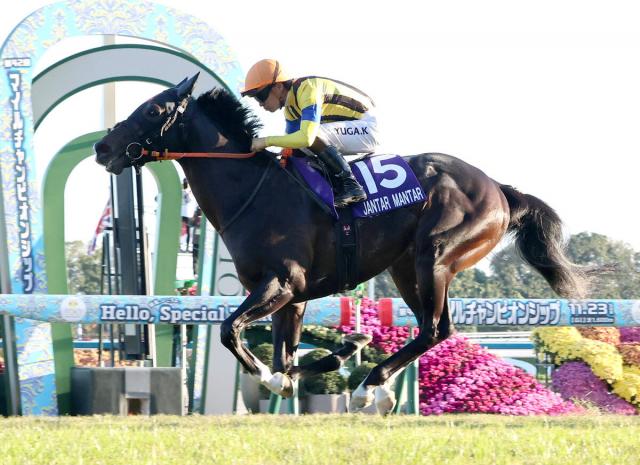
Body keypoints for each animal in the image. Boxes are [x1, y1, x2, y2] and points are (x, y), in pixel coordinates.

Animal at [94, 74, 593, 414]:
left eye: (153, 111)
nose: (103, 147)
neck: (252, 190)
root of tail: (498, 189)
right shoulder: (290, 295)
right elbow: (286, 356)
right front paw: (337, 352)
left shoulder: (282, 282)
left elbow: (231, 332)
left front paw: (290, 372)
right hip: (406, 268)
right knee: (437, 328)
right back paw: (373, 383)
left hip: (433, 255)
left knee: (434, 329)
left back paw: (369, 386)